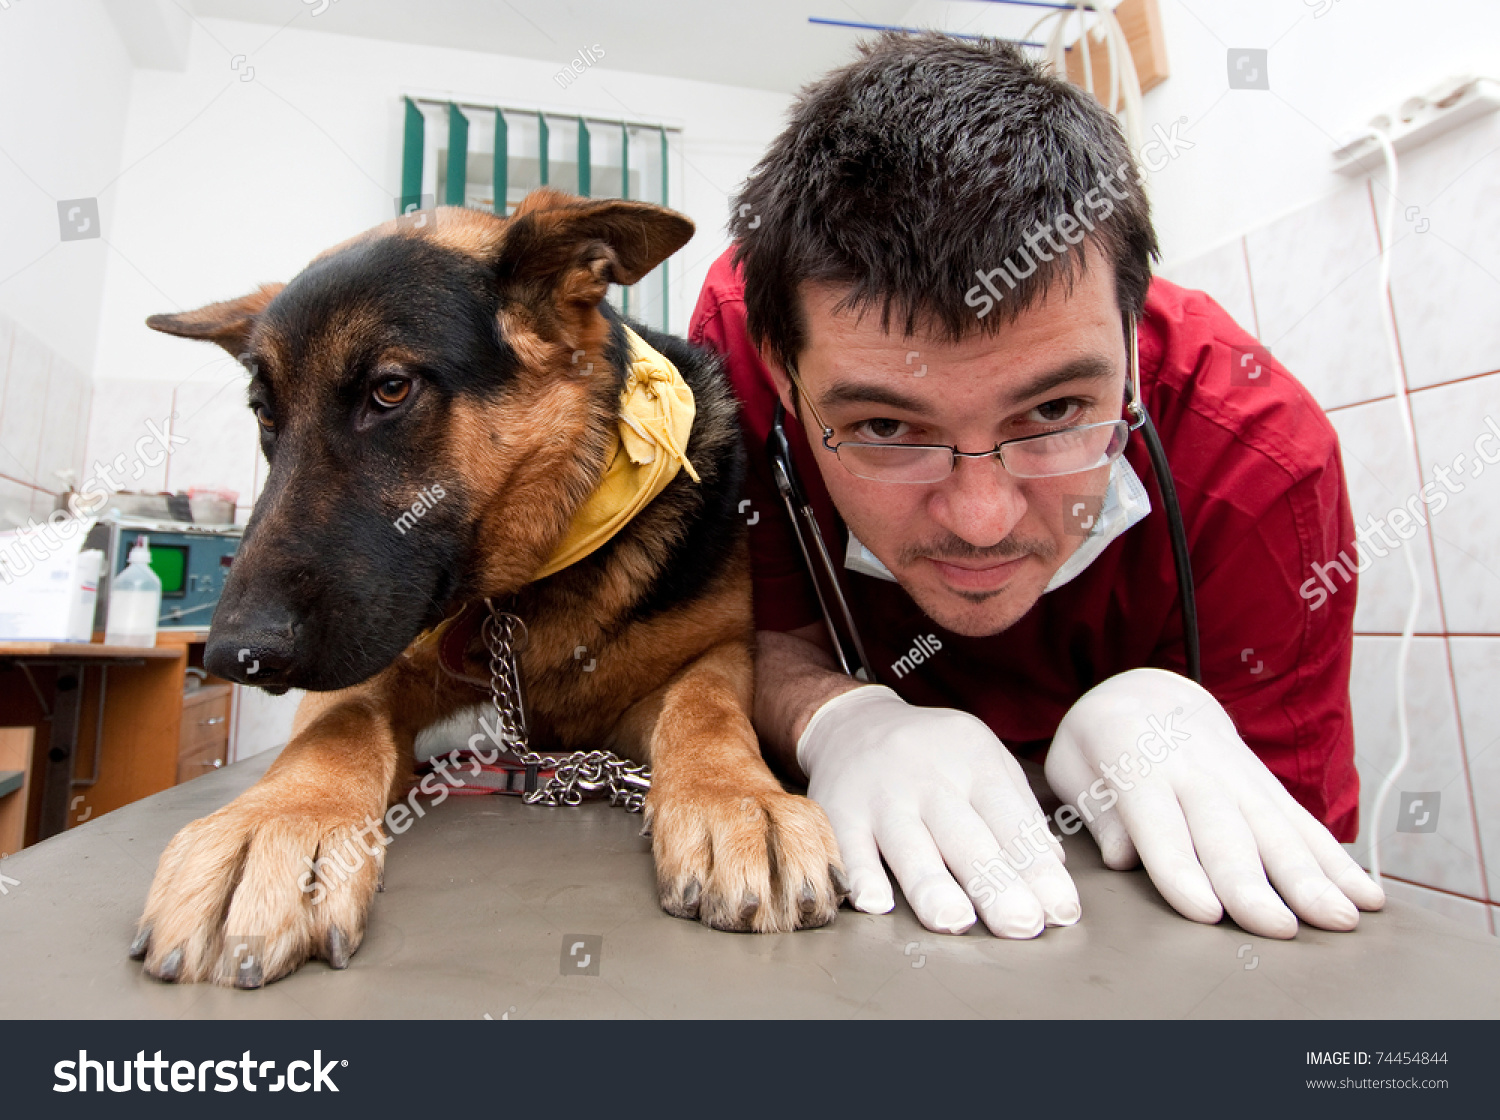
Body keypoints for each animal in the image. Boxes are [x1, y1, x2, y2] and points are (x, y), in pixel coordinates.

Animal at [132, 190, 846, 989]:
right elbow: (334, 729)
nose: (231, 656)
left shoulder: (711, 658)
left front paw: (740, 798)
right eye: (264, 414)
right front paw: (273, 823)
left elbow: (709, 711)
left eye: (390, 389)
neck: (530, 577)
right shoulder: (373, 663)